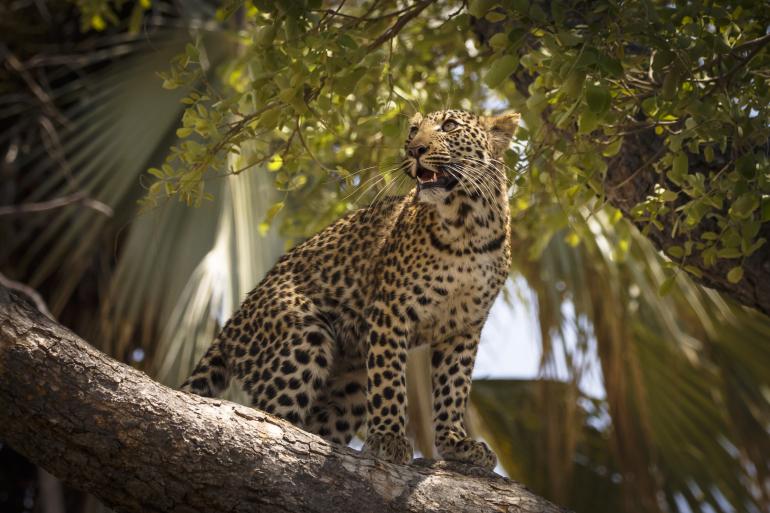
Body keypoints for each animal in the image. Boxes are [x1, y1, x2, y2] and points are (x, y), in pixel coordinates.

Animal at [180, 109, 516, 468]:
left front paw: (455, 443)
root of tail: (233, 322)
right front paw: (388, 438)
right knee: (266, 420)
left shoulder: (464, 327)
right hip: (302, 338)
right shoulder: (390, 308)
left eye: (449, 126)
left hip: (350, 388)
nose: (415, 150)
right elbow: (389, 380)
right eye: (413, 131)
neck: (469, 225)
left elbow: (454, 387)